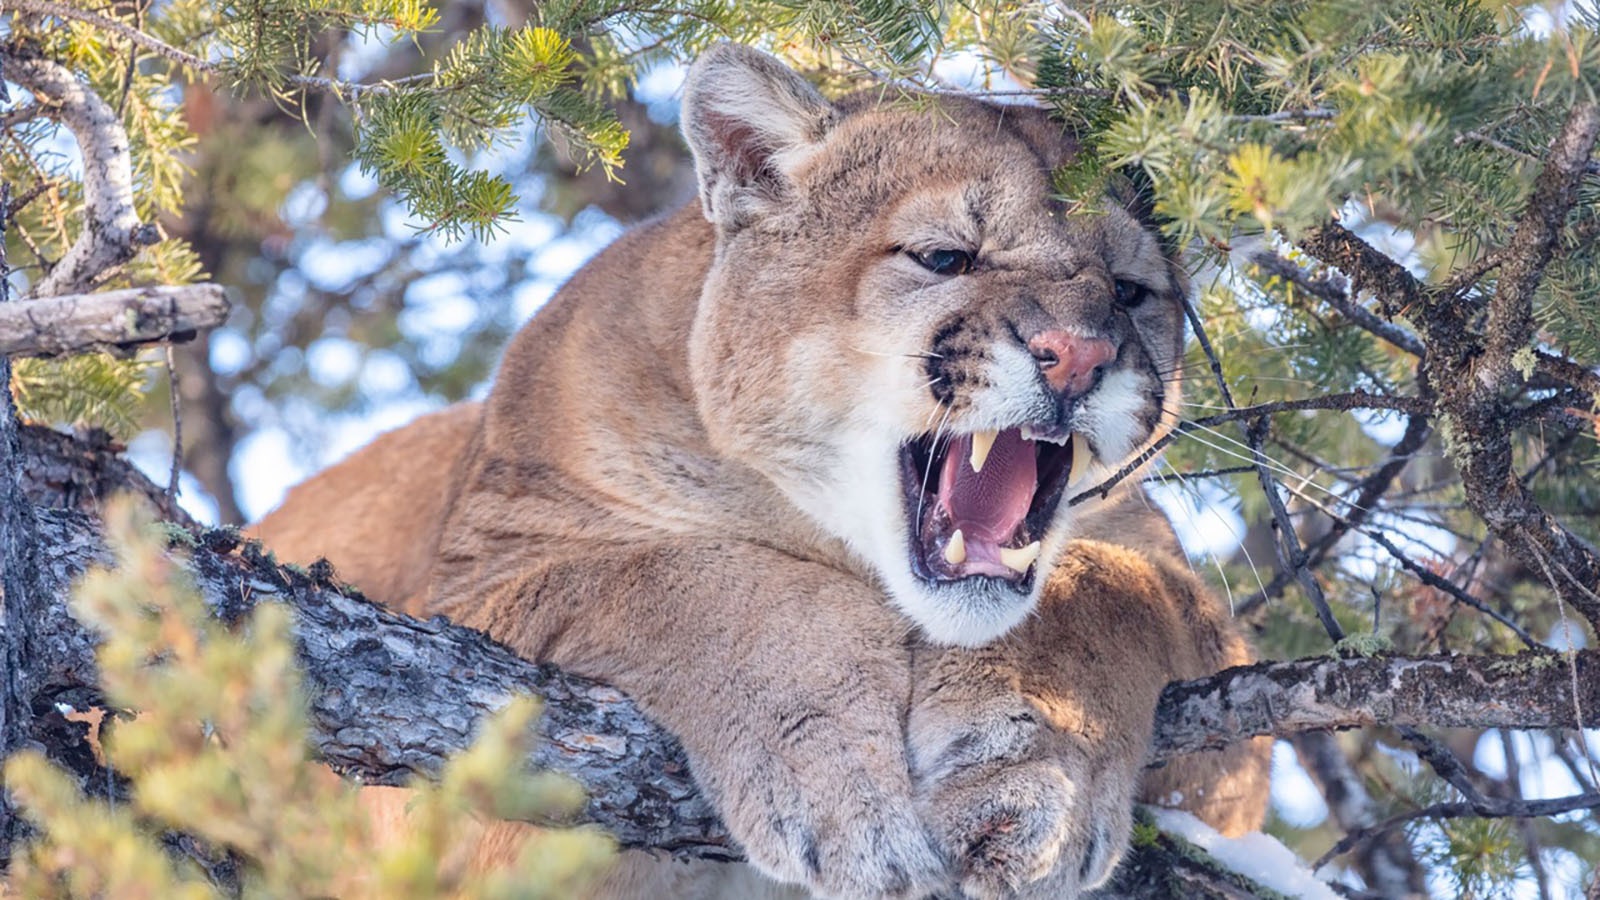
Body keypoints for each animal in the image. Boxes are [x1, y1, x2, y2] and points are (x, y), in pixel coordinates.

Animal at [253, 43, 1269, 899]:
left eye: (1132, 292)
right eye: (945, 256)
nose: (1080, 355)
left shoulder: (1218, 708)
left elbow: (1109, 593)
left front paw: (1025, 781)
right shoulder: (470, 621)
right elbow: (692, 579)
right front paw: (834, 777)